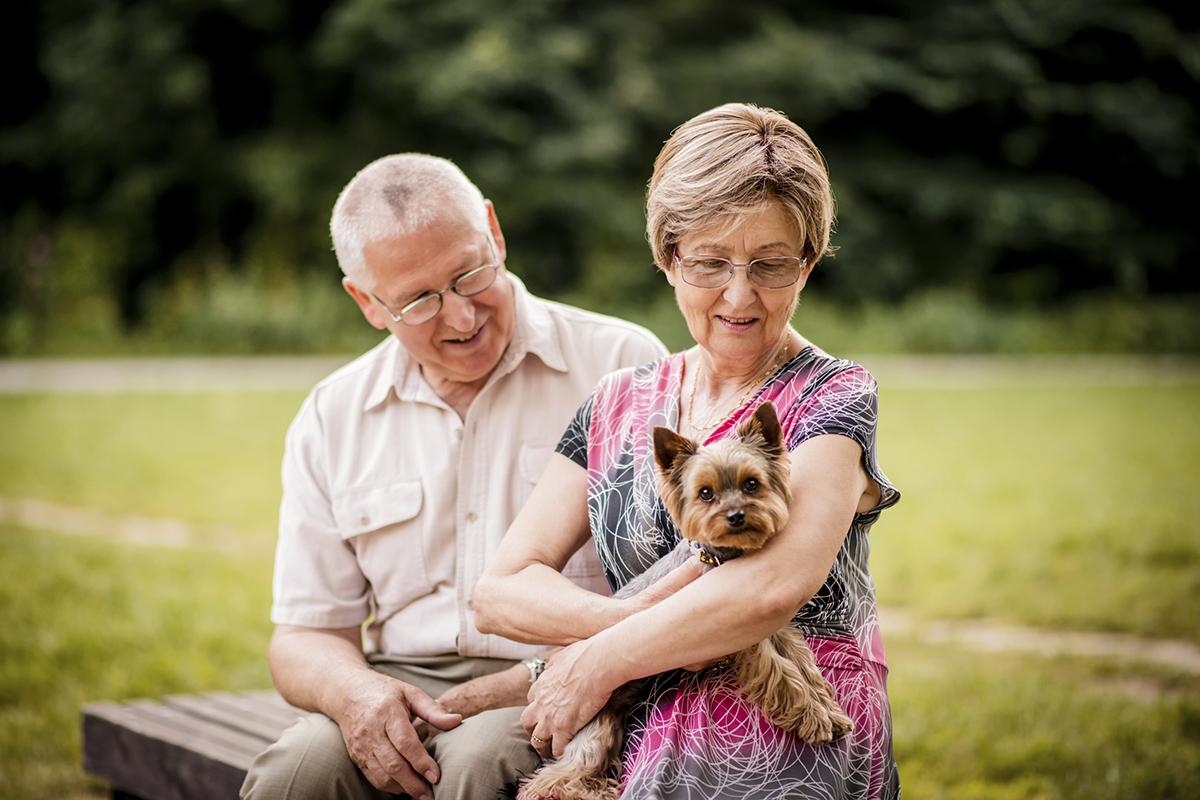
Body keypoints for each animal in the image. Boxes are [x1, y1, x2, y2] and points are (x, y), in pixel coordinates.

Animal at [518, 402, 854, 800]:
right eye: (705, 493)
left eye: (751, 483)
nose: (736, 516)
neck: (726, 557)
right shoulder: (740, 635)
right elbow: (783, 674)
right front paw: (814, 718)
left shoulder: (774, 627)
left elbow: (801, 664)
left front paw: (829, 710)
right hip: (591, 728)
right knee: (552, 778)